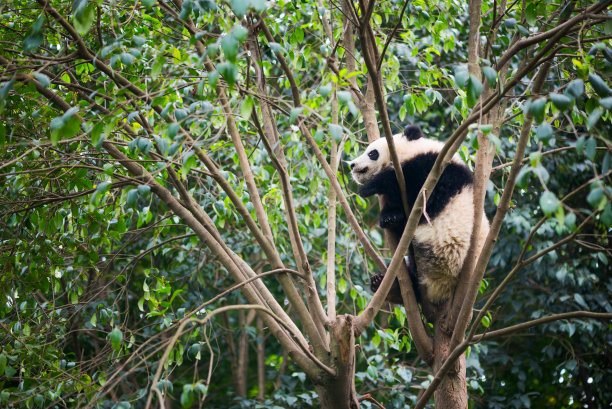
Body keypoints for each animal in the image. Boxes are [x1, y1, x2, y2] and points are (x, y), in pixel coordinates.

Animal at [350, 124, 488, 302]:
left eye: (372, 153)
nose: (352, 165)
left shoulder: (436, 171)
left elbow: (414, 190)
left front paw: (370, 187)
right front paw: (389, 217)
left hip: (445, 256)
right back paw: (385, 285)